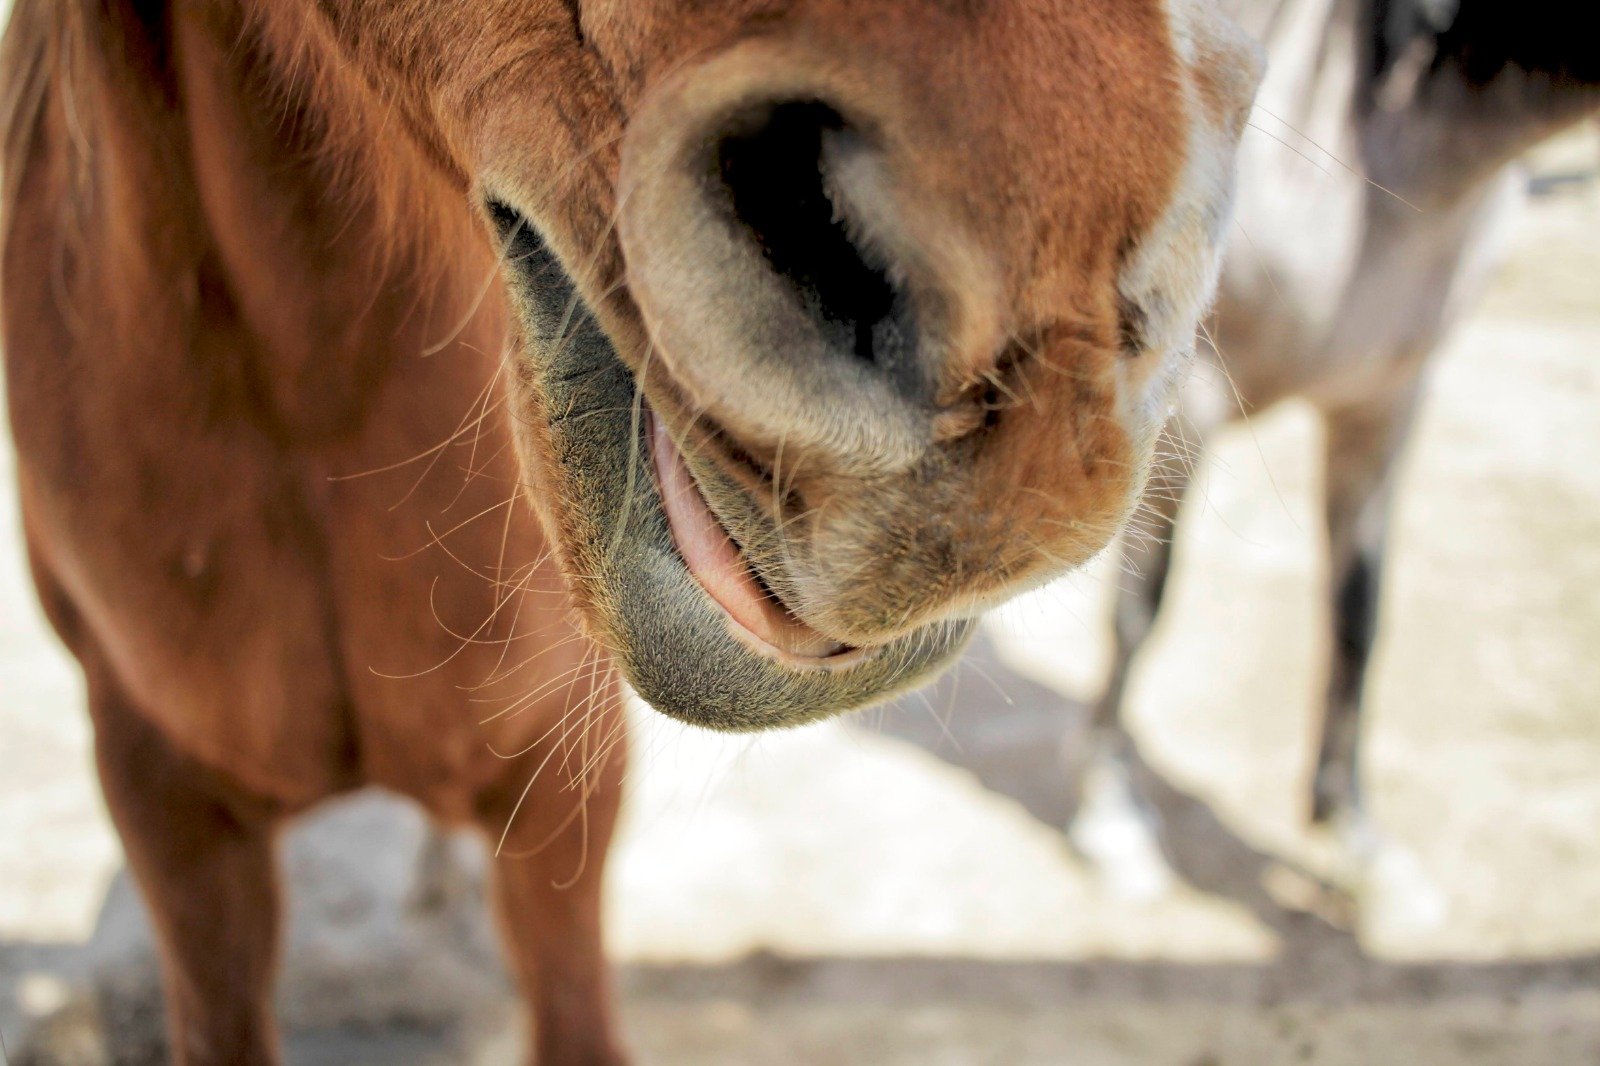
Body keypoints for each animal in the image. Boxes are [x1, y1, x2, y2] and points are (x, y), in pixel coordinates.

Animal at [1062, 0, 1600, 896]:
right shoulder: (1187, 405)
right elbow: (1144, 604)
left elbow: (1359, 611)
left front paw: (1354, 834)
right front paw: (1111, 816)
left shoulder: (1386, 405)